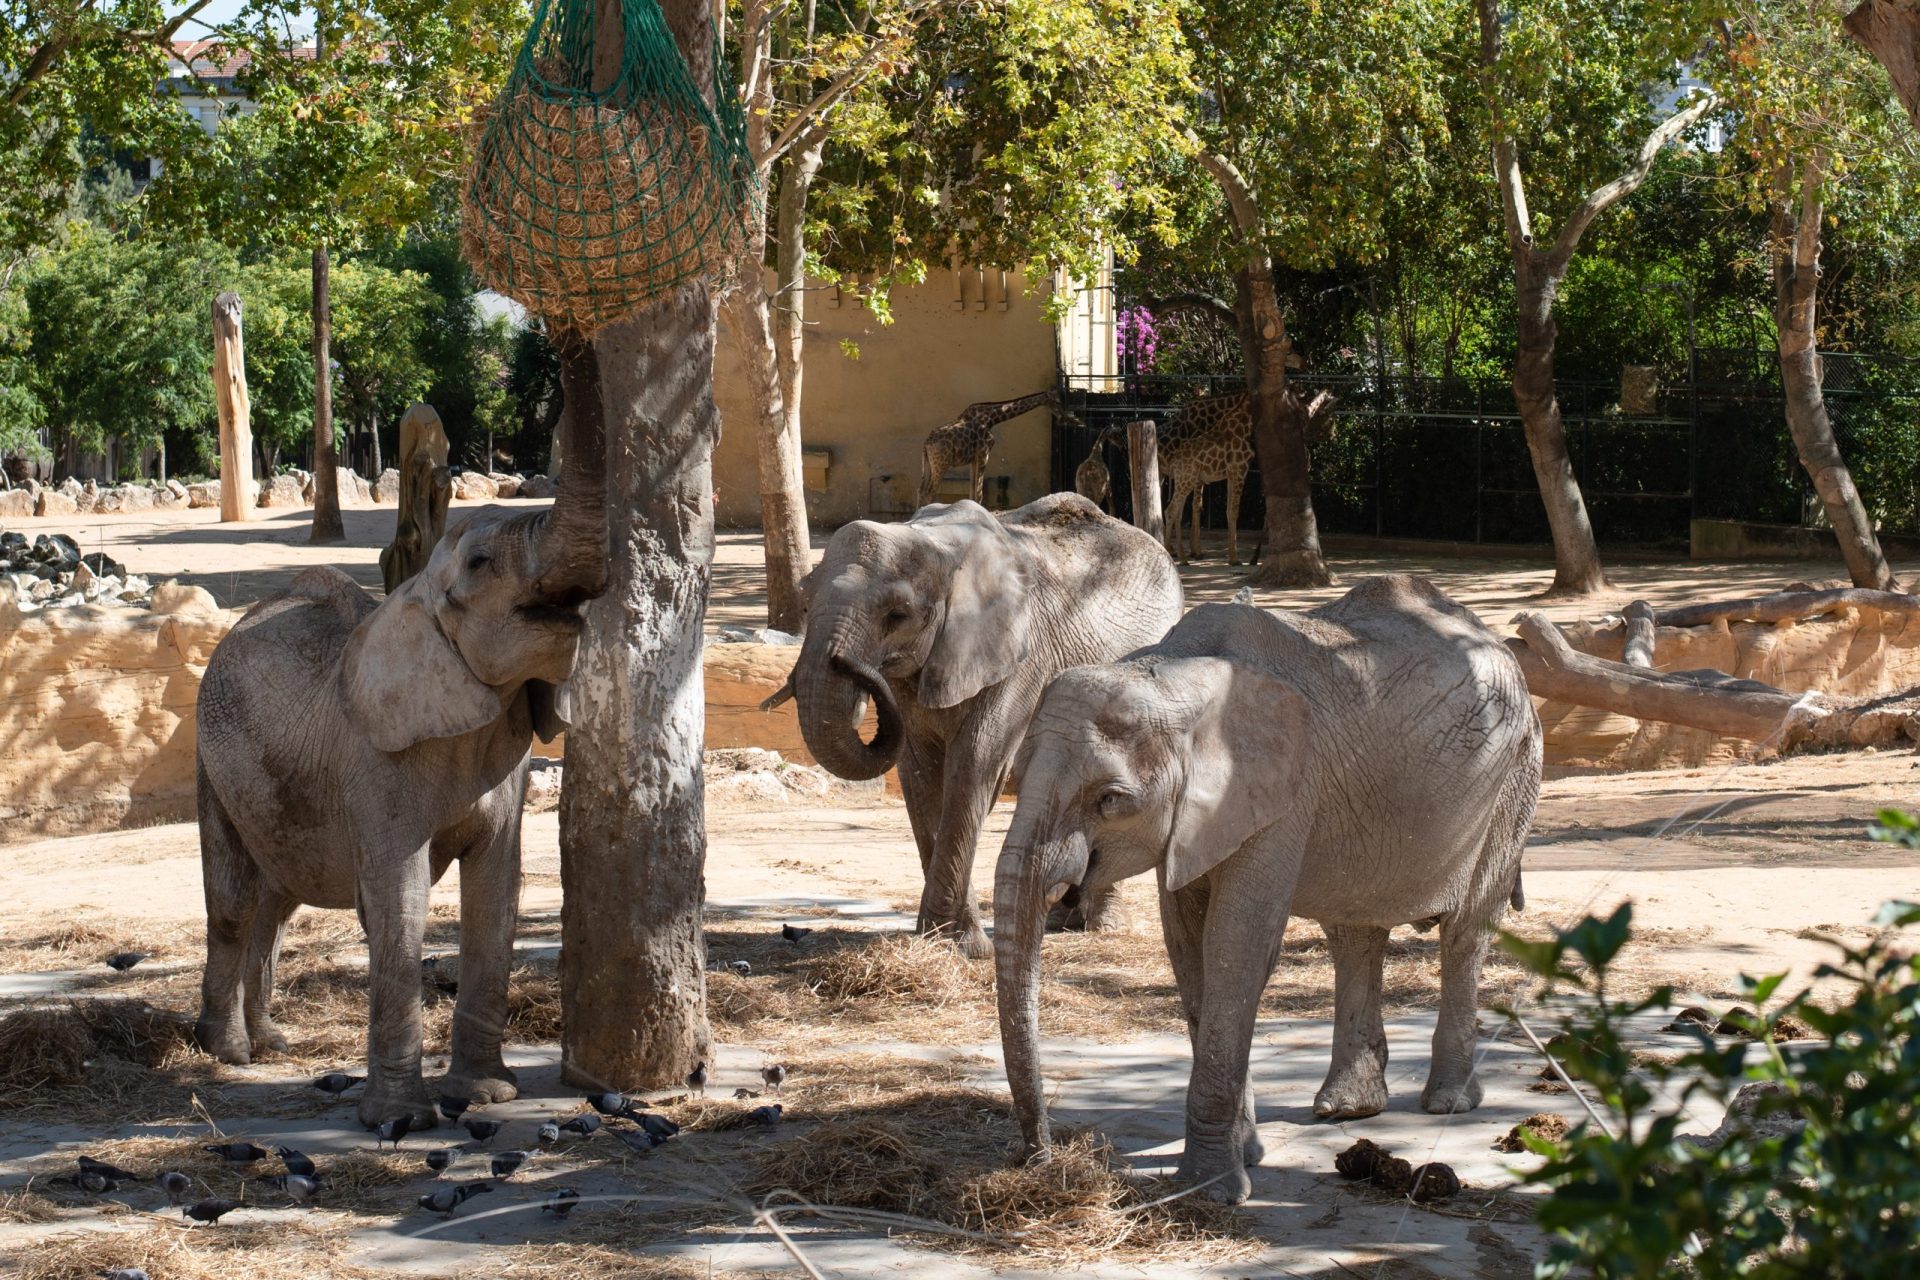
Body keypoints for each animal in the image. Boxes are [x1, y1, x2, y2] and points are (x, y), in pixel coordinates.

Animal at [191, 376, 602, 1128]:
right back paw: (228, 1054)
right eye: (480, 564)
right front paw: (401, 1121)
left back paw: (271, 1042)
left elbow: (497, 891)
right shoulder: (376, 765)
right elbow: (398, 899)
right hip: (210, 760)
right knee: (234, 898)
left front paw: (485, 1096)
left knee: (277, 897)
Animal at [783, 495, 1175, 955]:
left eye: (897, 615)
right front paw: (937, 940)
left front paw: (961, 946)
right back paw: (1063, 920)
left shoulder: (1020, 659)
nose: (847, 663)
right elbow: (919, 771)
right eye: (806, 599)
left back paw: (1101, 925)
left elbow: (974, 764)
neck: (936, 544)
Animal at [917, 391, 1067, 510]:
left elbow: (973, 490)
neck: (991, 419)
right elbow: (979, 492)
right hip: (941, 464)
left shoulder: (974, 459)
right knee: (930, 491)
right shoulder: (984, 454)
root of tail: (926, 443)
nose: (1063, 417)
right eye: (1056, 401)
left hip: (930, 463)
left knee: (921, 489)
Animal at [998, 575, 1536, 1205]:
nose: (1035, 1156)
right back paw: (1346, 1109)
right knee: (1355, 934)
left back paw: (1446, 1102)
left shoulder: (1282, 794)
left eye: (1110, 799)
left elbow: (1237, 944)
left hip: (1513, 779)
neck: (1175, 673)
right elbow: (1189, 945)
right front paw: (1245, 1155)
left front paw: (1212, 1191)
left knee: (1465, 933)